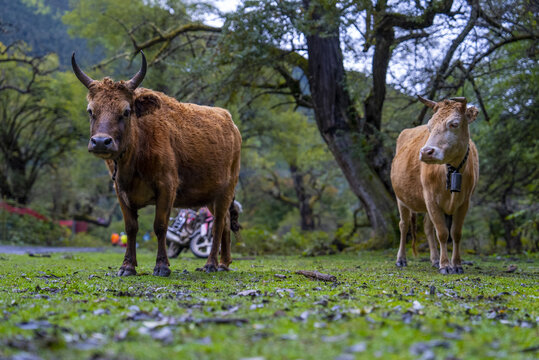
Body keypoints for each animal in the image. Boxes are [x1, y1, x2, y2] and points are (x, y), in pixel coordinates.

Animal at [71, 51, 243, 276]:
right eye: (91, 111)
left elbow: (160, 226)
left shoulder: (167, 187)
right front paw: (127, 266)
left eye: (126, 111)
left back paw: (211, 264)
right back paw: (223, 263)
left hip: (226, 190)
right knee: (224, 224)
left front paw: (162, 265)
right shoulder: (120, 191)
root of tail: (230, 121)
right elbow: (131, 227)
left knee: (217, 225)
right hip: (210, 196)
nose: (101, 141)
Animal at [390, 97, 478, 274]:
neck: (452, 170)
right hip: (401, 198)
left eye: (454, 124)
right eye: (429, 126)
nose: (426, 152)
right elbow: (443, 233)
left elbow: (455, 233)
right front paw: (445, 265)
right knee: (403, 225)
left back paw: (435, 259)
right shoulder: (431, 198)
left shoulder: (464, 202)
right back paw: (401, 259)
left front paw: (456, 264)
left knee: (428, 228)